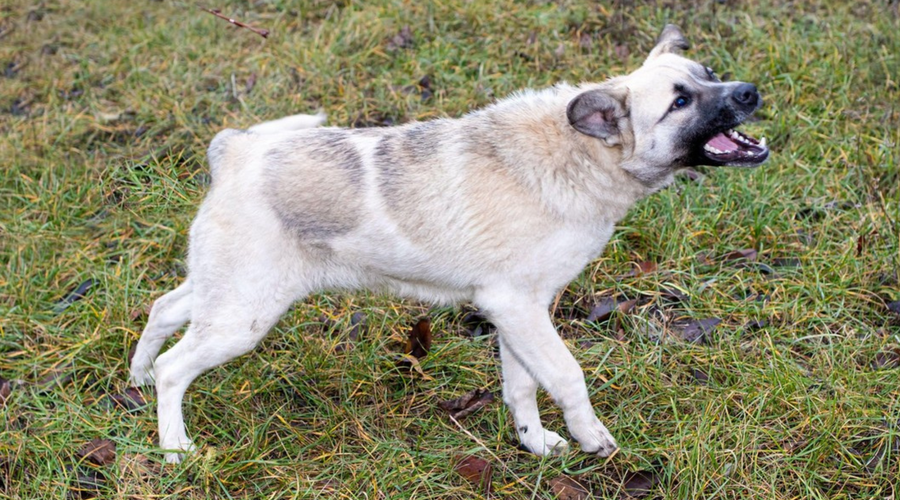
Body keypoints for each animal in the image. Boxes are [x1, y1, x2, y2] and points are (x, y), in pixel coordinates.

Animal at [130, 22, 768, 460]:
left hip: (229, 292)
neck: (576, 155)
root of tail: (235, 150)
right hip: (244, 314)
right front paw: (593, 439)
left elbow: (522, 388)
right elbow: (566, 377)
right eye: (680, 101)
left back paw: (137, 380)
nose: (750, 92)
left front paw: (535, 444)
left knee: (164, 311)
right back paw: (175, 446)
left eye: (710, 75)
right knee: (176, 366)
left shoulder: (518, 315)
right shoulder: (518, 309)